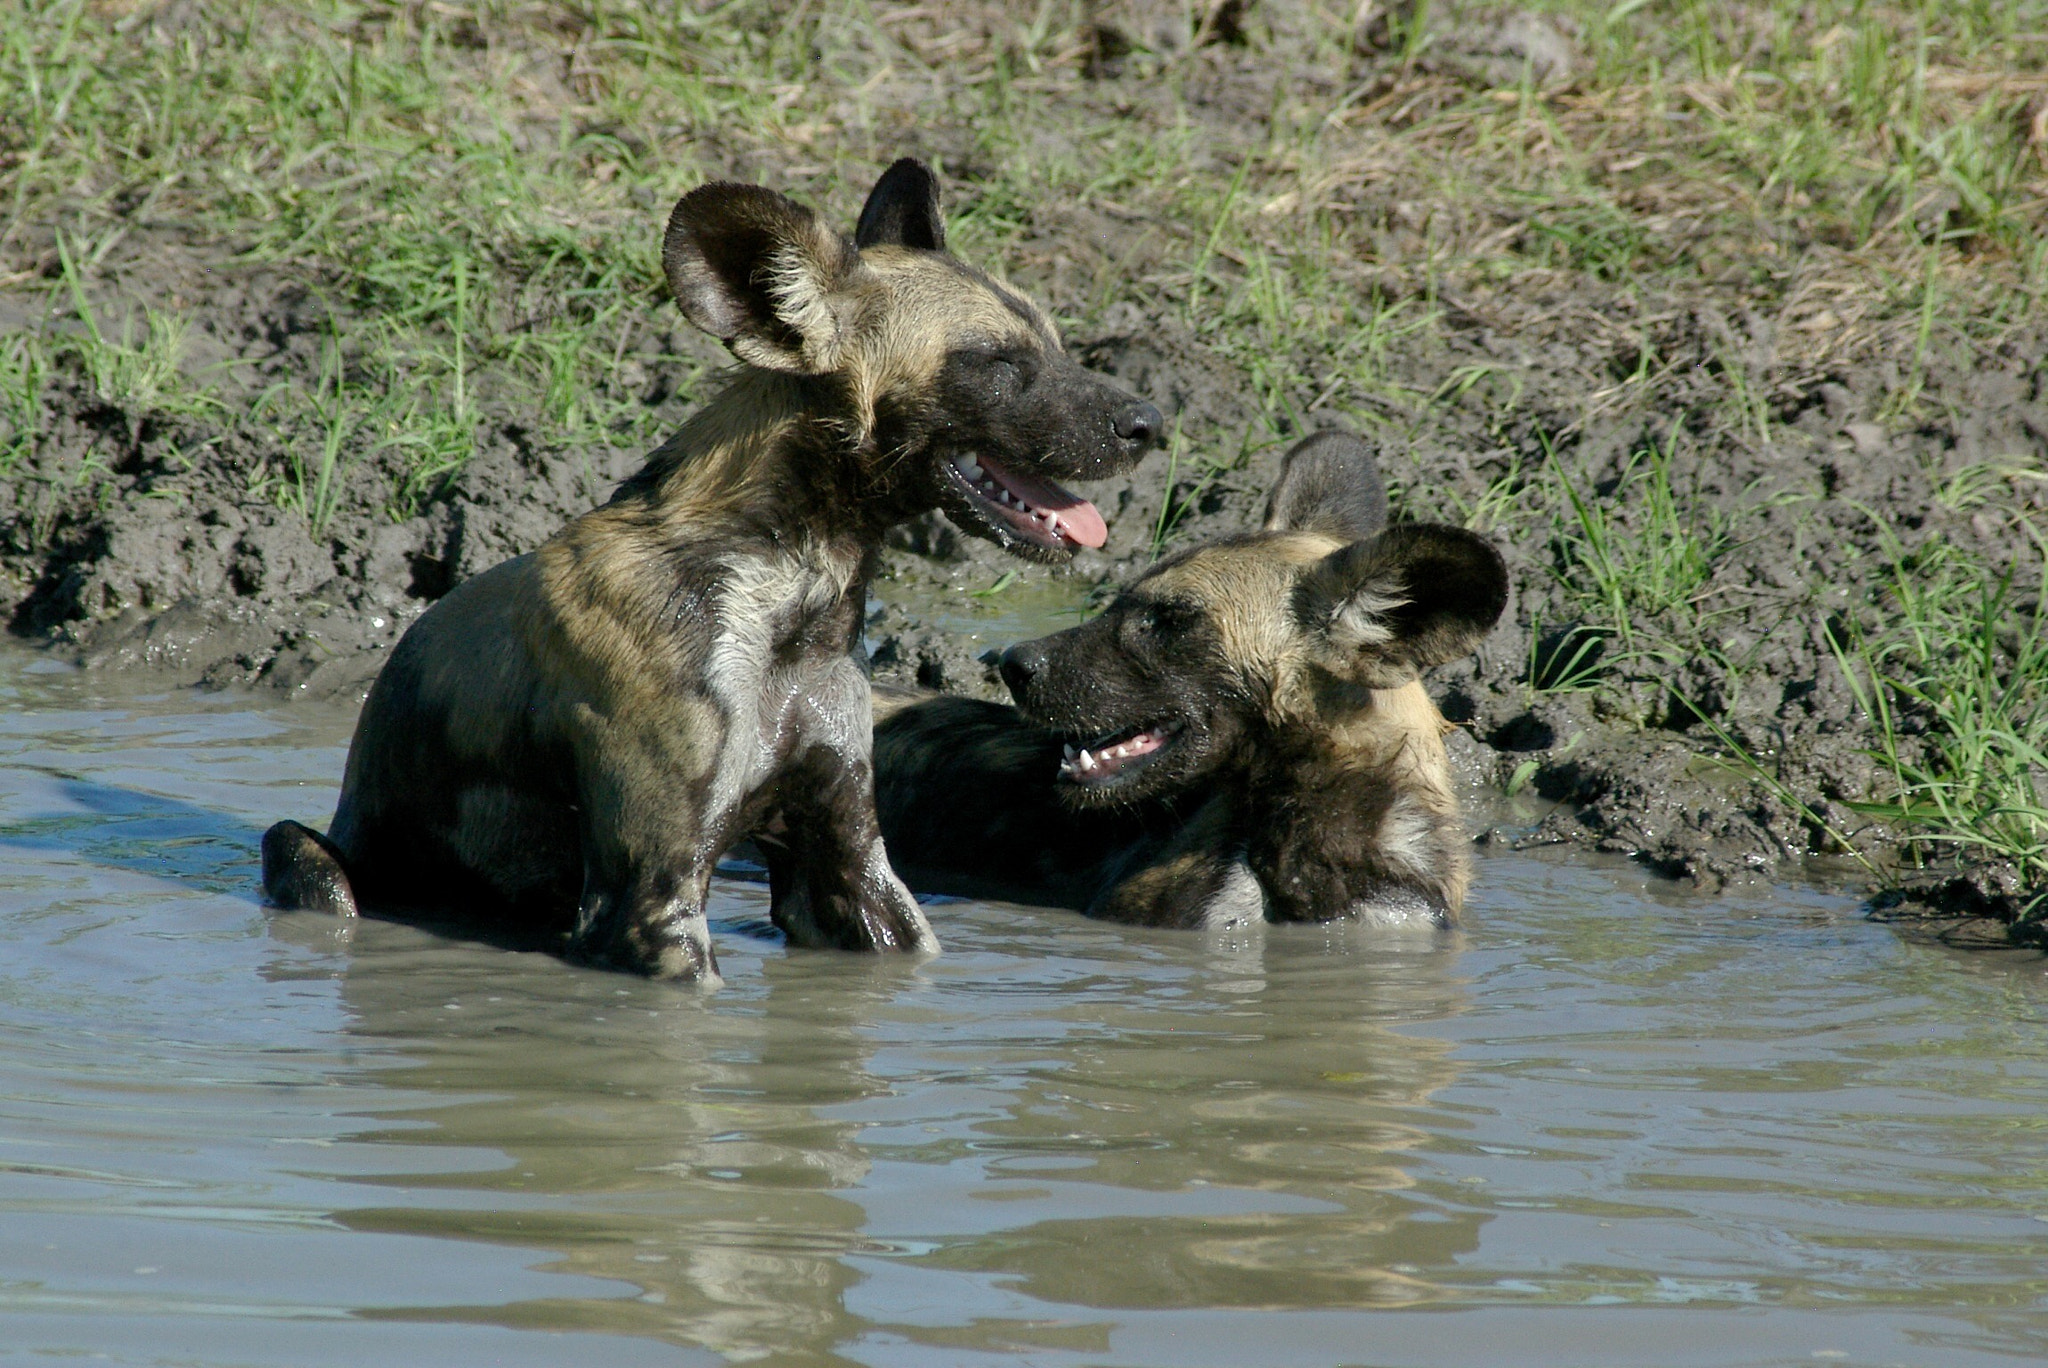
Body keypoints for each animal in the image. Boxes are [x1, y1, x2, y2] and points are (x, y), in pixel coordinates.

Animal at [258, 160, 1163, 978]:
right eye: (999, 364)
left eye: (1057, 347)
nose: (1150, 422)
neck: (792, 594)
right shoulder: (651, 901)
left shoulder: (852, 867)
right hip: (308, 861)